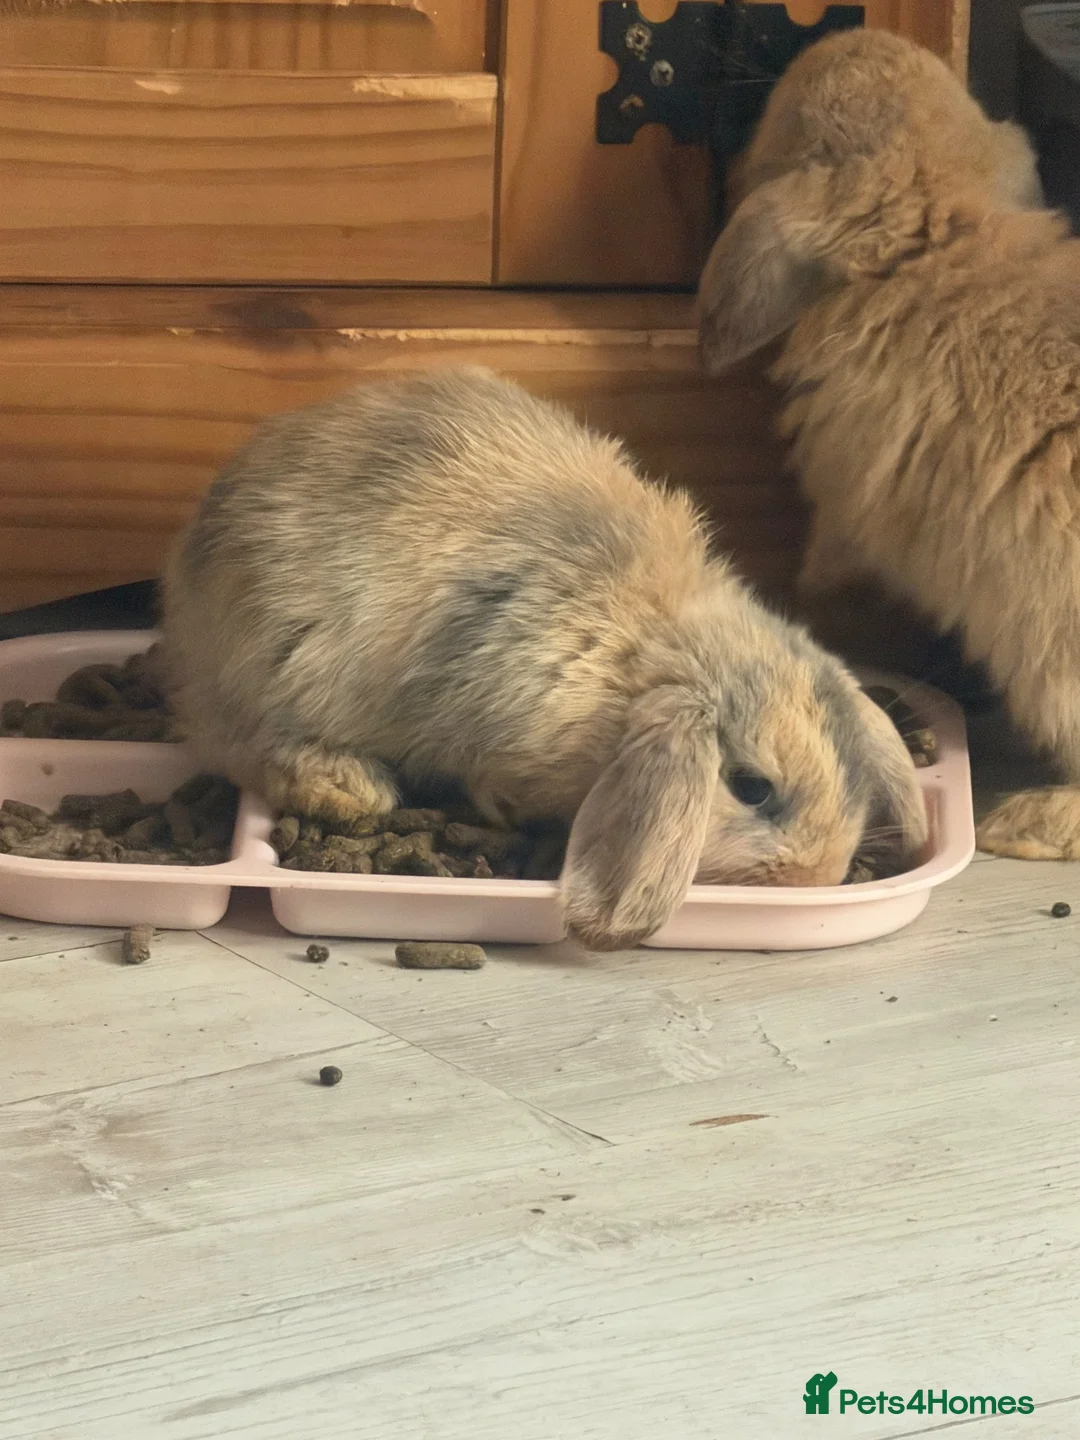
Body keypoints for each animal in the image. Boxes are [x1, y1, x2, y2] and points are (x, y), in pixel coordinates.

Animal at [161, 365, 926, 950]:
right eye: (751, 786)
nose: (817, 877)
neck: (637, 658)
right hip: (272, 668)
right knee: (243, 746)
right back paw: (347, 786)